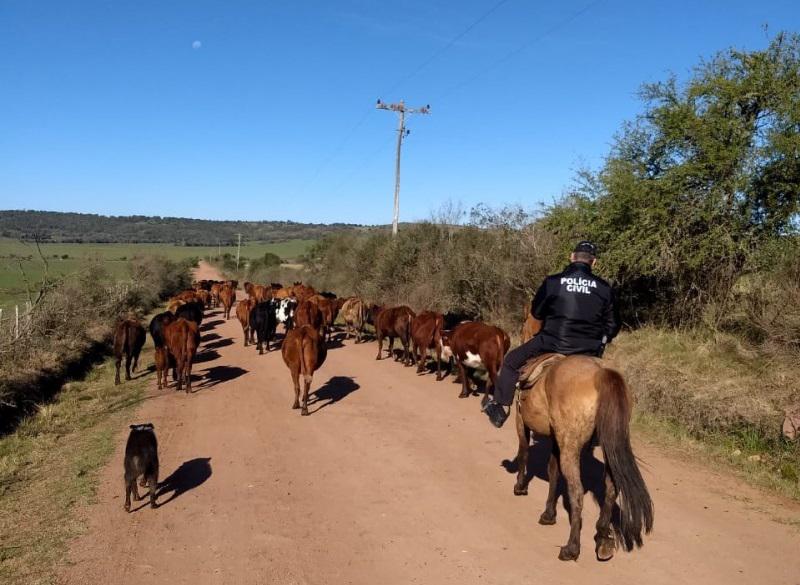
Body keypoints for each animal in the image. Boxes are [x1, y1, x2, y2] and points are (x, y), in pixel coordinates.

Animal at [512, 354, 648, 564]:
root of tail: (600, 373)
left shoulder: (521, 421)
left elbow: (524, 453)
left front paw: (520, 487)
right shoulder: (556, 439)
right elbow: (553, 471)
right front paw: (549, 514)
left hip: (570, 446)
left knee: (576, 493)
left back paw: (571, 548)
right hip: (605, 444)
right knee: (611, 488)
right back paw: (602, 538)